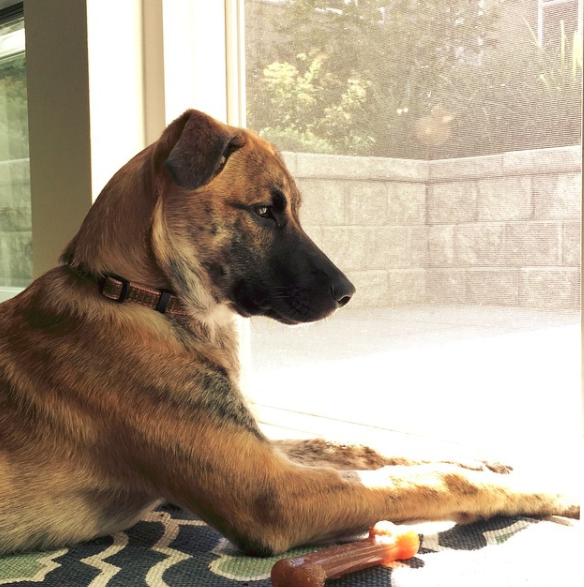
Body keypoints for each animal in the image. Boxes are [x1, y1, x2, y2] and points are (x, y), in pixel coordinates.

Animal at [0, 109, 576, 556]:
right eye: (264, 211)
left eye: (293, 211)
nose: (347, 293)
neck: (138, 295)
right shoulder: (272, 493)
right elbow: (430, 480)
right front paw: (544, 491)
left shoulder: (260, 447)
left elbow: (356, 448)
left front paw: (481, 459)